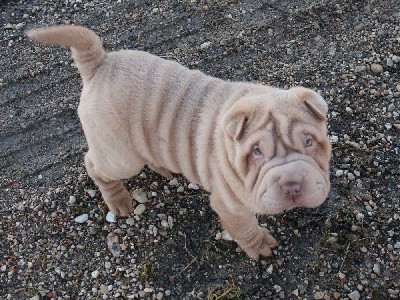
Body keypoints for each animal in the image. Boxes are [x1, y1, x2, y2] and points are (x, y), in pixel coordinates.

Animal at [26, 25, 330, 260]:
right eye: (256, 152)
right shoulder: (230, 205)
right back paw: (119, 200)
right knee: (95, 165)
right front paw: (261, 245)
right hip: (120, 157)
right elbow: (245, 227)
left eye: (309, 142)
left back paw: (162, 167)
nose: (292, 184)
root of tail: (99, 63)